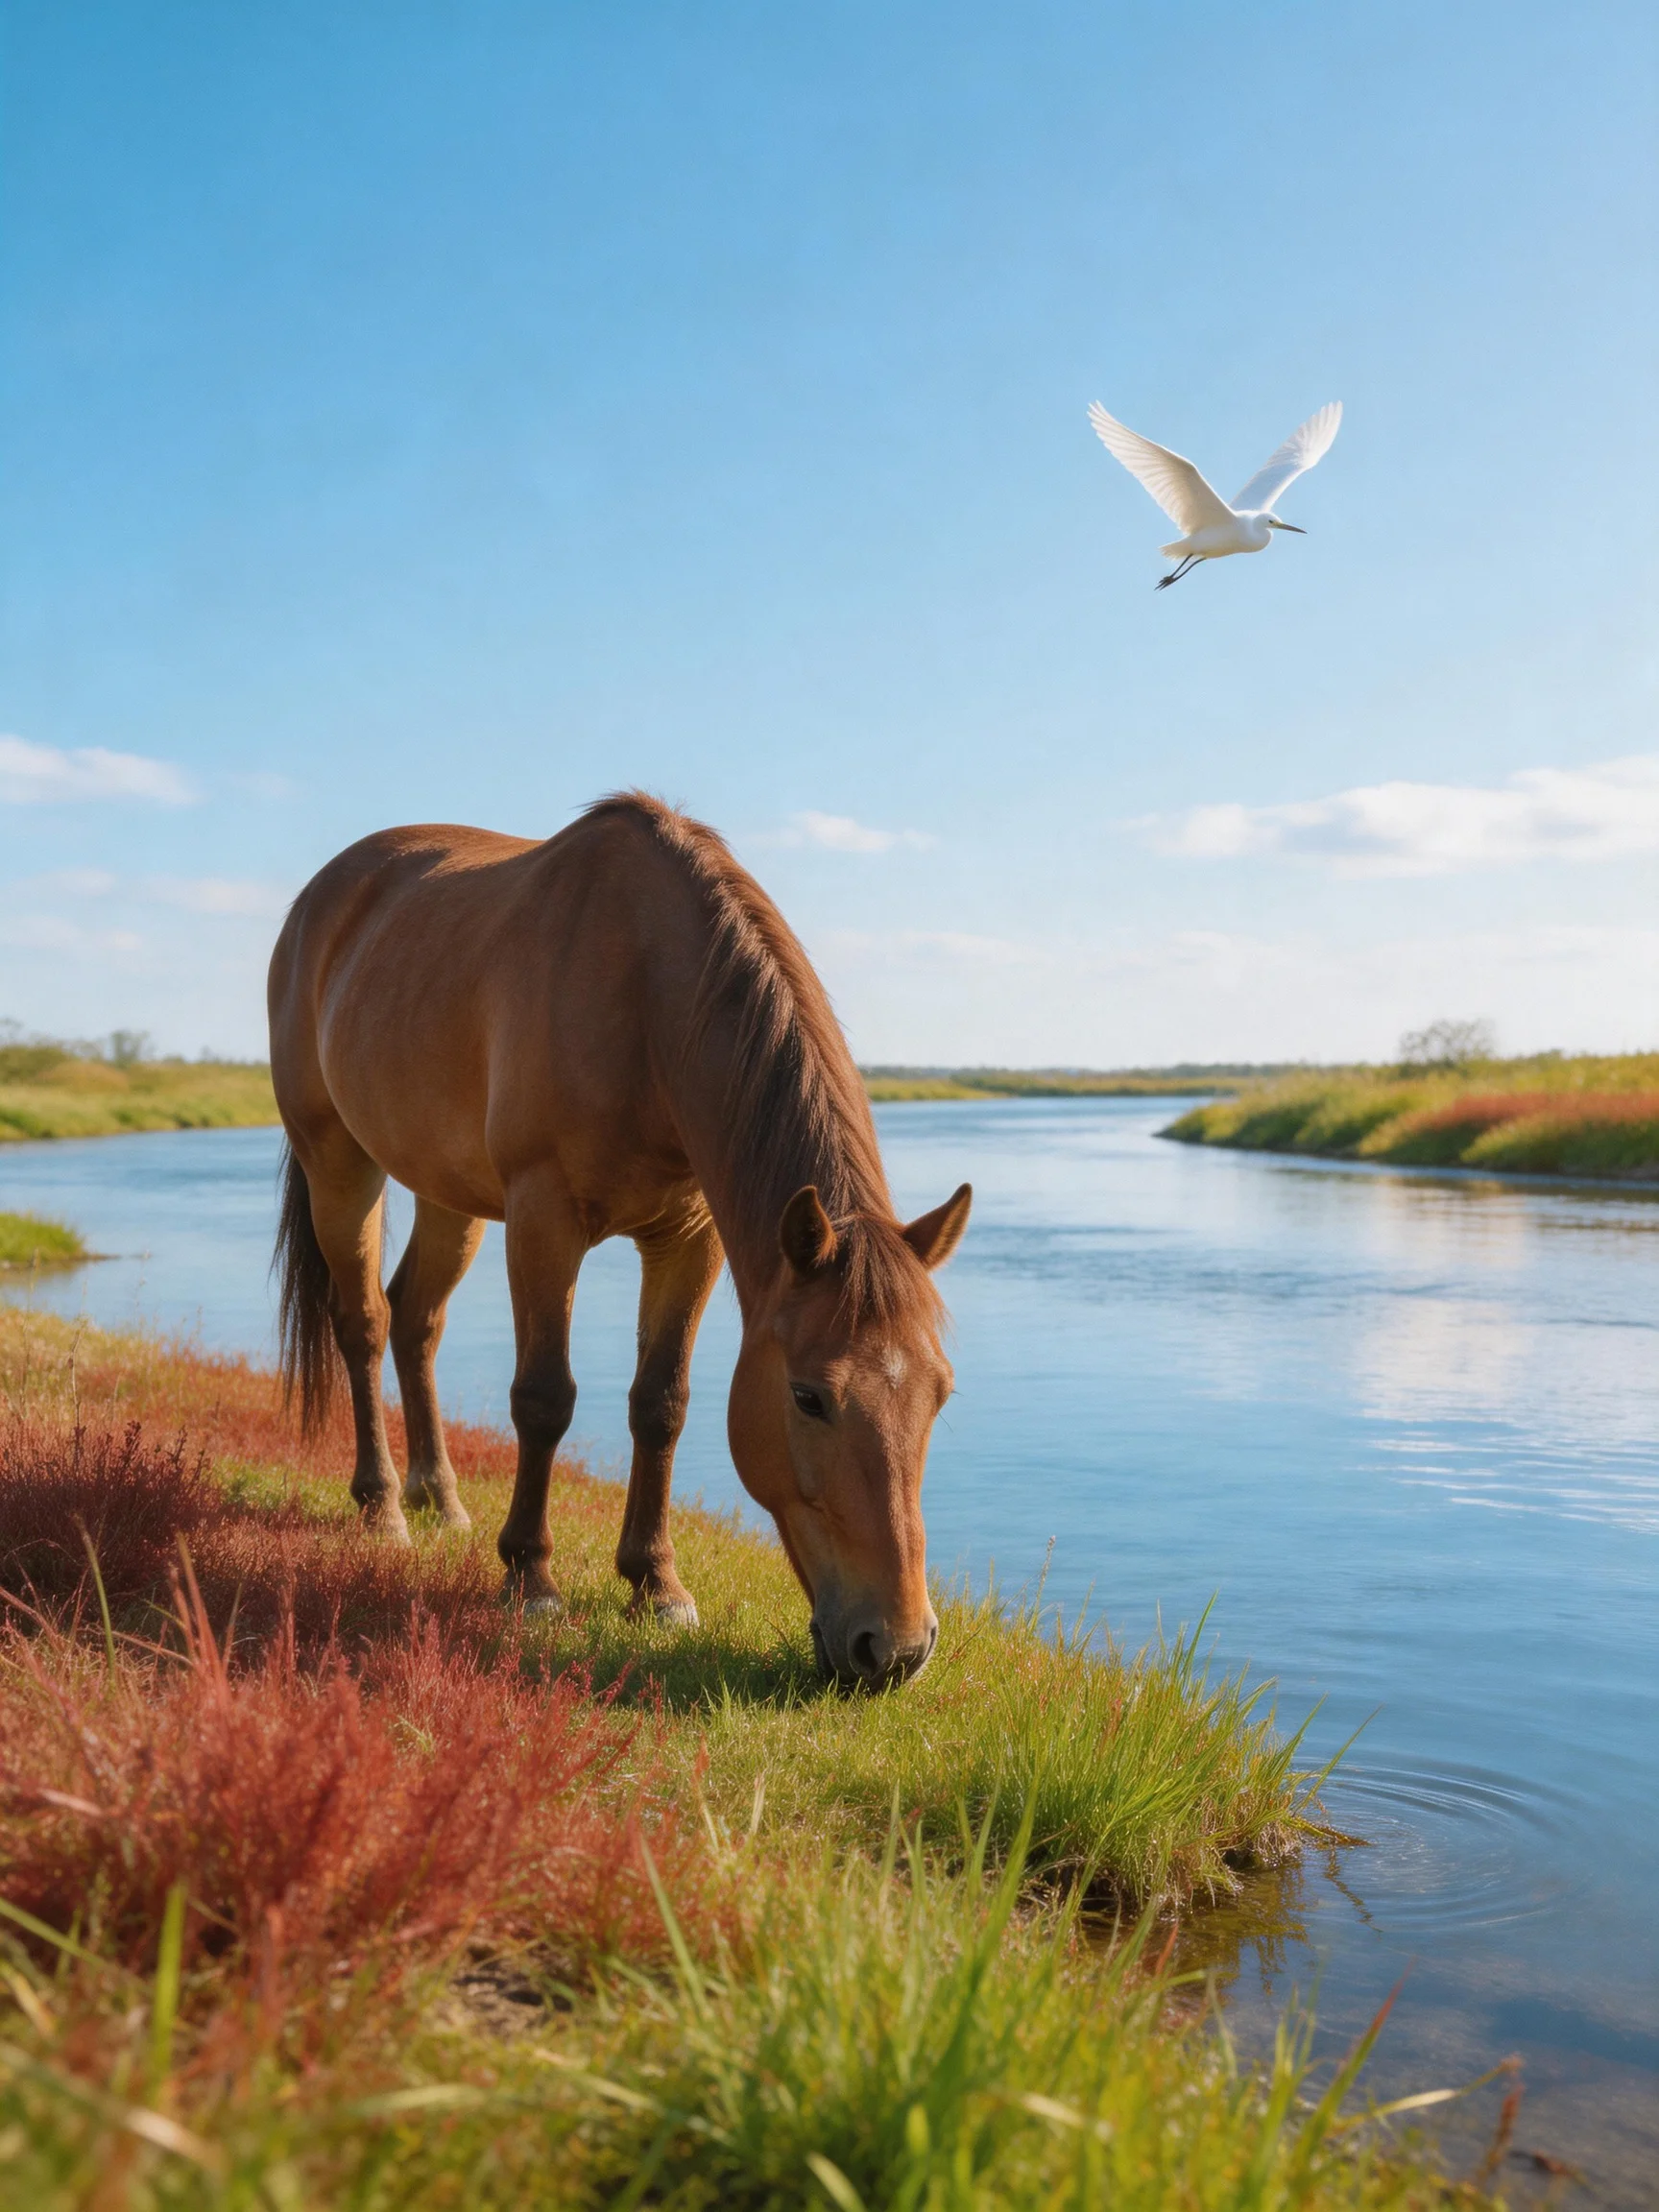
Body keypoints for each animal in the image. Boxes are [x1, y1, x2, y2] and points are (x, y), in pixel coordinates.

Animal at [267, 792, 971, 1688]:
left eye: (940, 1394)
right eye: (810, 1397)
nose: (897, 1649)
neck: (648, 995)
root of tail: (319, 901)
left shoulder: (689, 1238)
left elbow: (660, 1404)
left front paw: (656, 1585)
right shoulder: (544, 1220)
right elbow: (544, 1399)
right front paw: (530, 1577)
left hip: (447, 1192)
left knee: (416, 1318)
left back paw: (441, 1496)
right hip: (339, 1162)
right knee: (363, 1322)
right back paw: (385, 1506)